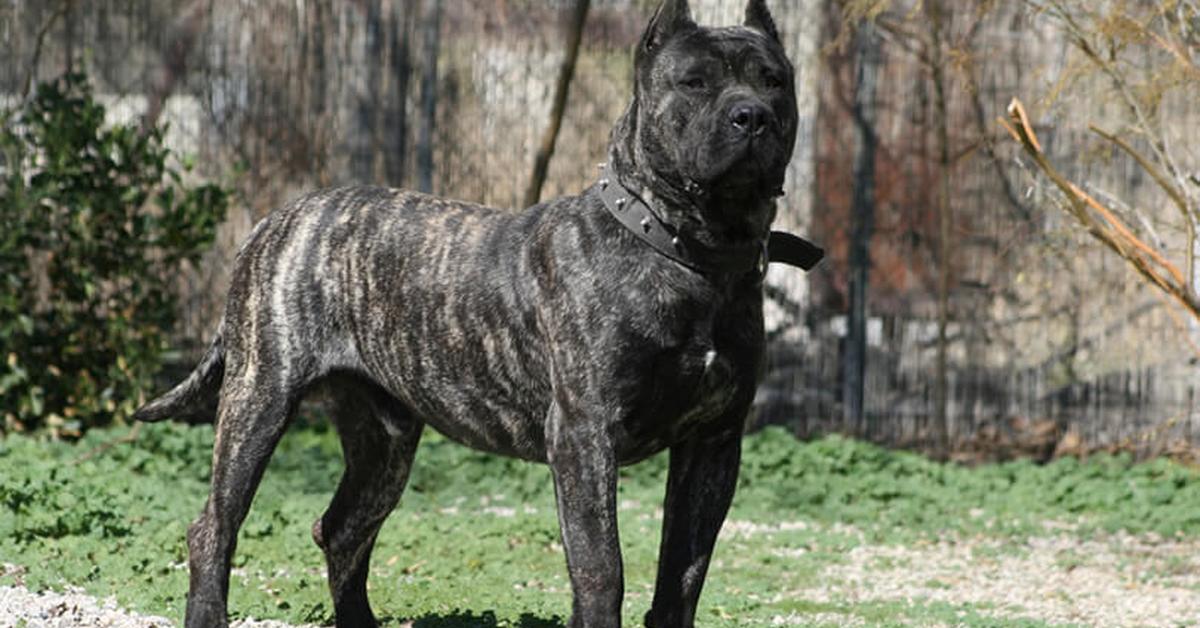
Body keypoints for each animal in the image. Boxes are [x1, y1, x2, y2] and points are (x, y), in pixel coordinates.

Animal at [136, 2, 820, 624]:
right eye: (696, 82)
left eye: (773, 80)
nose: (752, 115)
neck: (693, 253)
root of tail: (276, 218)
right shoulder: (584, 436)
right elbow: (603, 569)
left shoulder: (713, 443)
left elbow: (683, 573)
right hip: (258, 403)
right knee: (214, 527)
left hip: (385, 444)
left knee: (342, 529)